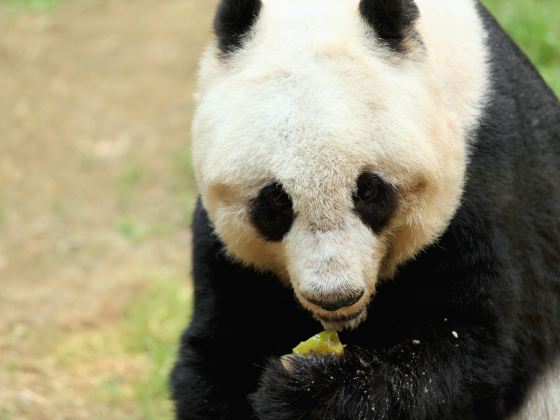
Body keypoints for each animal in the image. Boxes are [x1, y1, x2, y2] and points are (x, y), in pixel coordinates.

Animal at [171, 0, 560, 418]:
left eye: (369, 190)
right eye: (275, 200)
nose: (335, 297)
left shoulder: (489, 180)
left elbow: (471, 354)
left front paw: (308, 390)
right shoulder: (227, 253)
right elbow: (219, 352)